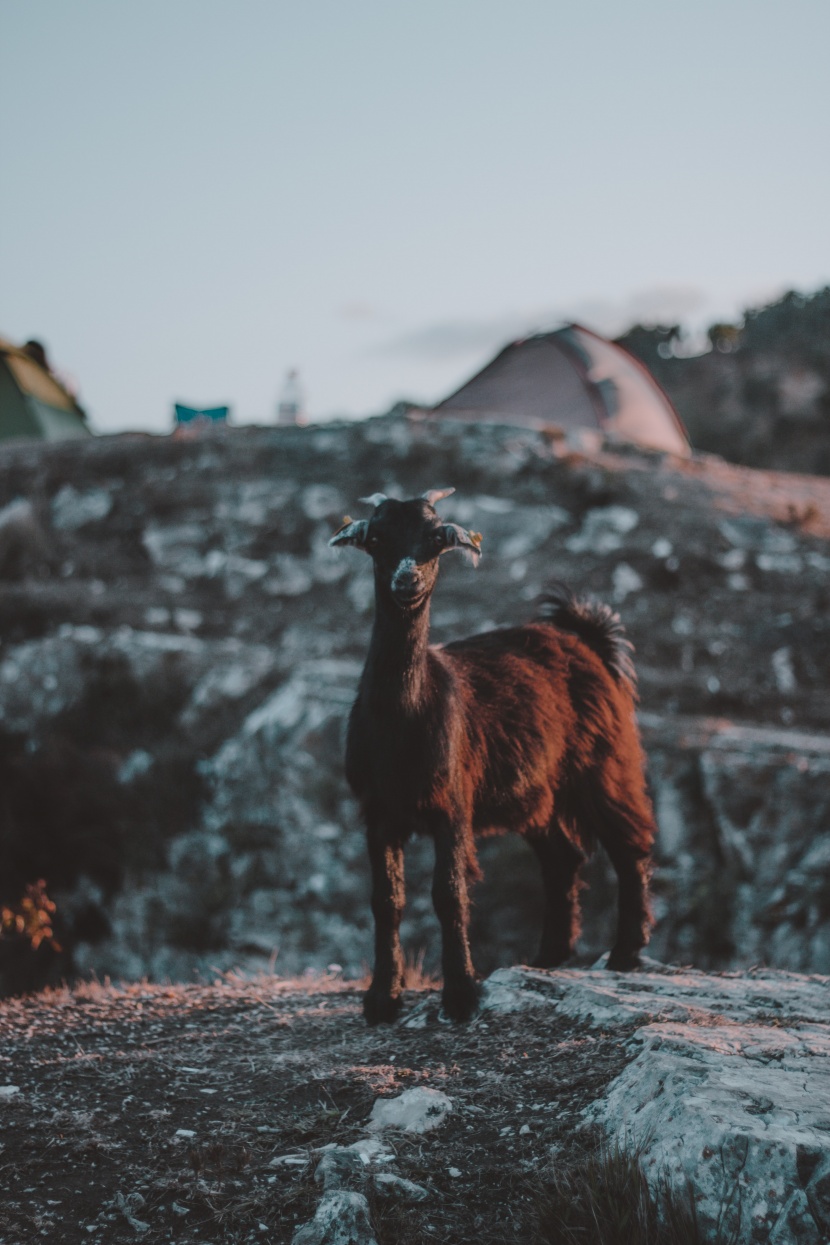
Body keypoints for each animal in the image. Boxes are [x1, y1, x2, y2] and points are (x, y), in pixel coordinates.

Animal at [328, 485, 657, 1020]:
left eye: (436, 539)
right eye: (375, 539)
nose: (406, 580)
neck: (403, 720)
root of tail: (585, 637)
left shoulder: (453, 805)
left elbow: (450, 894)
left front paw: (462, 995)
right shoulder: (377, 811)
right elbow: (386, 900)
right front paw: (382, 999)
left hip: (604, 765)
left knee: (630, 845)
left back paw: (626, 954)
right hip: (537, 795)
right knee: (563, 857)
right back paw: (548, 957)